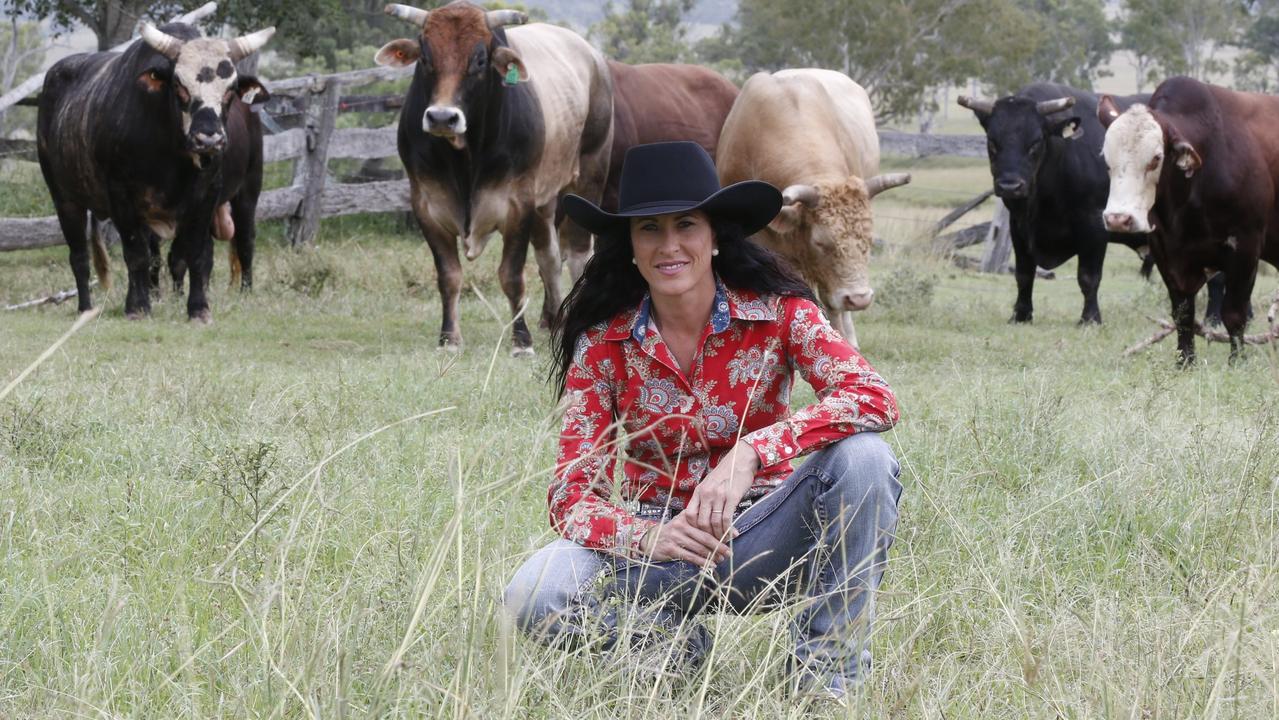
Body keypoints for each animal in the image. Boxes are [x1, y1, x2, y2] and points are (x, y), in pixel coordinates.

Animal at [961, 80, 1227, 323]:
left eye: (1035, 142)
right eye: (992, 142)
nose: (1010, 185)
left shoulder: (1094, 224)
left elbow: (1089, 276)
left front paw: (1090, 318)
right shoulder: (1019, 227)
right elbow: (1024, 274)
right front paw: (1021, 315)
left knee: (1217, 279)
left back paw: (1213, 319)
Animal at [1099, 77, 1279, 365]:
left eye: (1156, 159)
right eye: (1107, 159)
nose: (1118, 219)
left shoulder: (1245, 248)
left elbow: (1234, 314)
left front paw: (1236, 361)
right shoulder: (1166, 253)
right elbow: (1182, 315)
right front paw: (1184, 361)